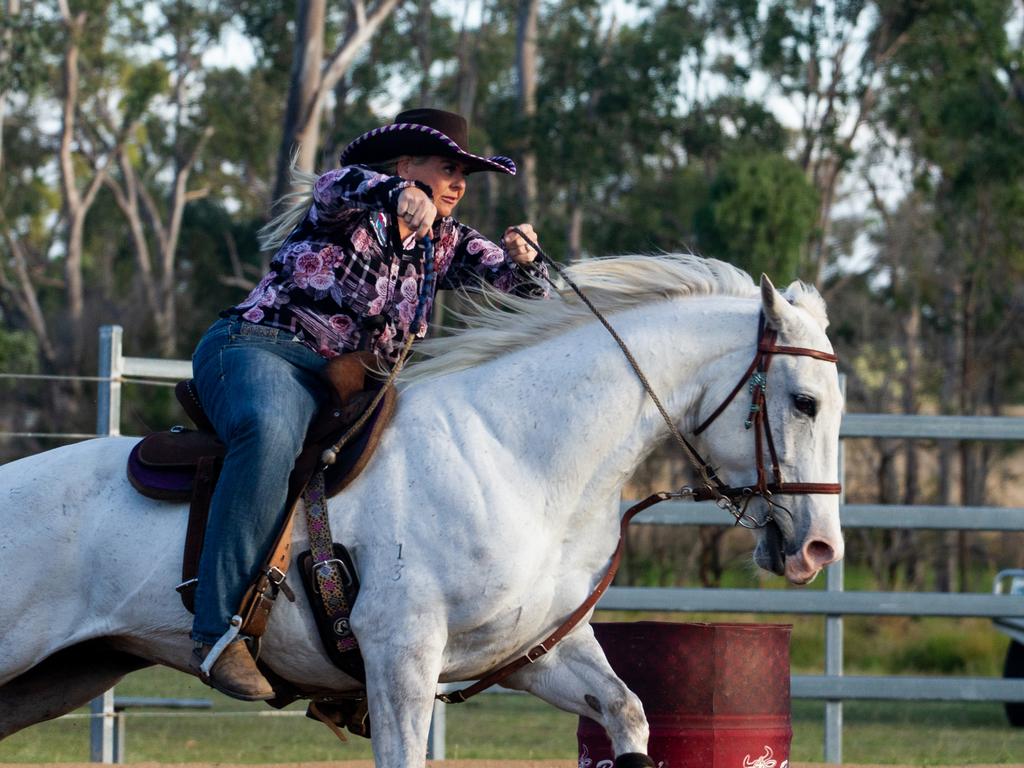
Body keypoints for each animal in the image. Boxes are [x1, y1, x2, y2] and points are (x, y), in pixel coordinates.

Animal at [0, 256, 843, 765]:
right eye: (803, 401)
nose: (819, 550)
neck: (516, 452)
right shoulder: (400, 656)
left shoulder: (538, 655)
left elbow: (626, 709)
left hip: (62, 675)